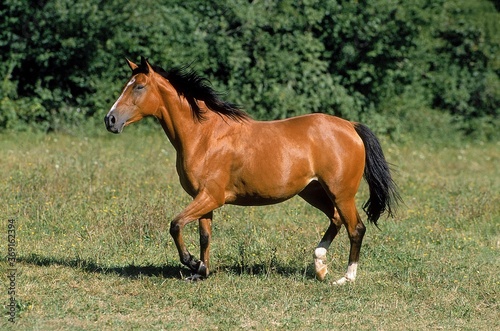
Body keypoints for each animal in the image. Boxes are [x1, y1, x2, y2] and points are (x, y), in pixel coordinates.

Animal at [103, 56, 400, 282]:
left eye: (139, 87)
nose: (110, 120)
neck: (204, 136)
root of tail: (350, 126)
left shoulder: (211, 197)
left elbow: (175, 225)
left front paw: (192, 263)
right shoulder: (204, 199)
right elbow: (204, 236)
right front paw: (201, 272)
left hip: (341, 193)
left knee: (356, 228)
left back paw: (346, 278)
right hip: (314, 192)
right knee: (336, 220)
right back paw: (320, 266)